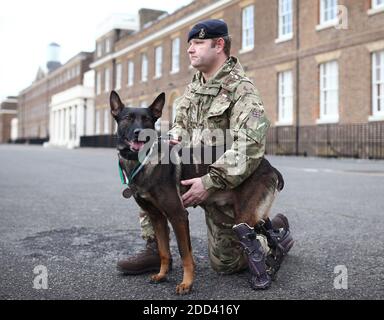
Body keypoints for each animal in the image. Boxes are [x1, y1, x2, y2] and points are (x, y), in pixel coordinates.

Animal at [109, 89, 290, 294]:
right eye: (128, 118)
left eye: (147, 119)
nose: (140, 133)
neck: (143, 160)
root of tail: (269, 165)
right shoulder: (157, 218)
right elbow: (164, 251)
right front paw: (162, 275)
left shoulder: (178, 216)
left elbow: (185, 254)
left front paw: (187, 284)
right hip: (238, 213)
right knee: (267, 230)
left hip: (244, 216)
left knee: (254, 236)